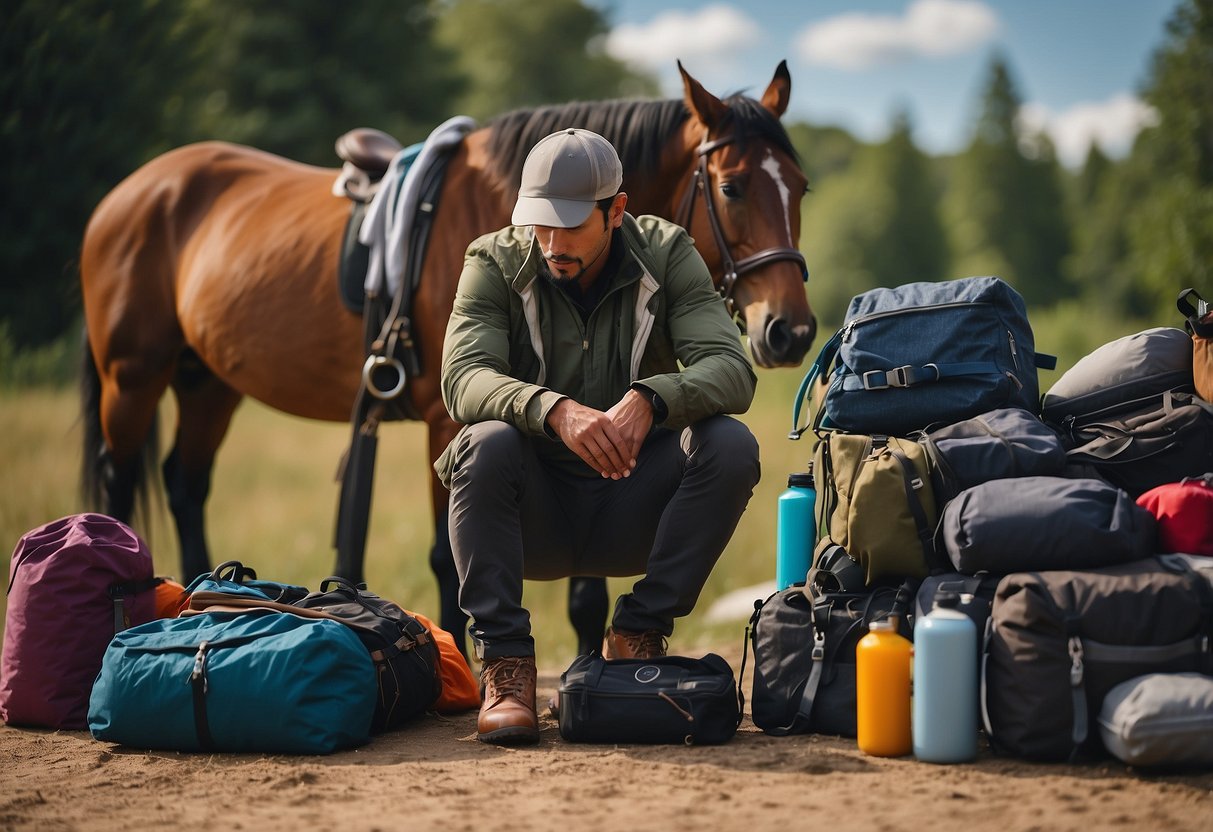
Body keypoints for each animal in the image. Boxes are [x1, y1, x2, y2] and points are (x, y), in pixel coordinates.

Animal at [75, 60, 815, 659]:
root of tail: (130, 192)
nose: (791, 332)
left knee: (184, 483)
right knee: (120, 480)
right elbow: (447, 558)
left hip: (208, 383)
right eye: (732, 188)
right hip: (133, 378)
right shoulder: (444, 414)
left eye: (801, 187)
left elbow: (585, 582)